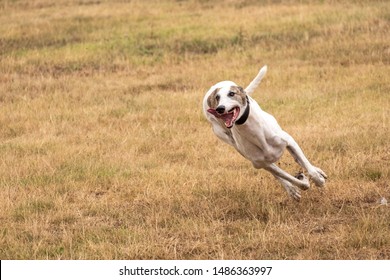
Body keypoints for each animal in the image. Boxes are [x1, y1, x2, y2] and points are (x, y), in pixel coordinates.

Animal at [203, 65, 328, 201]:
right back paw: (292, 189)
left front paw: (318, 179)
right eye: (217, 98)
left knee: (300, 160)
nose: (219, 109)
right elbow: (293, 180)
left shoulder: (290, 141)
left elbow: (307, 166)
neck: (255, 133)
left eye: (231, 94)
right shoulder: (261, 163)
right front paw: (300, 182)